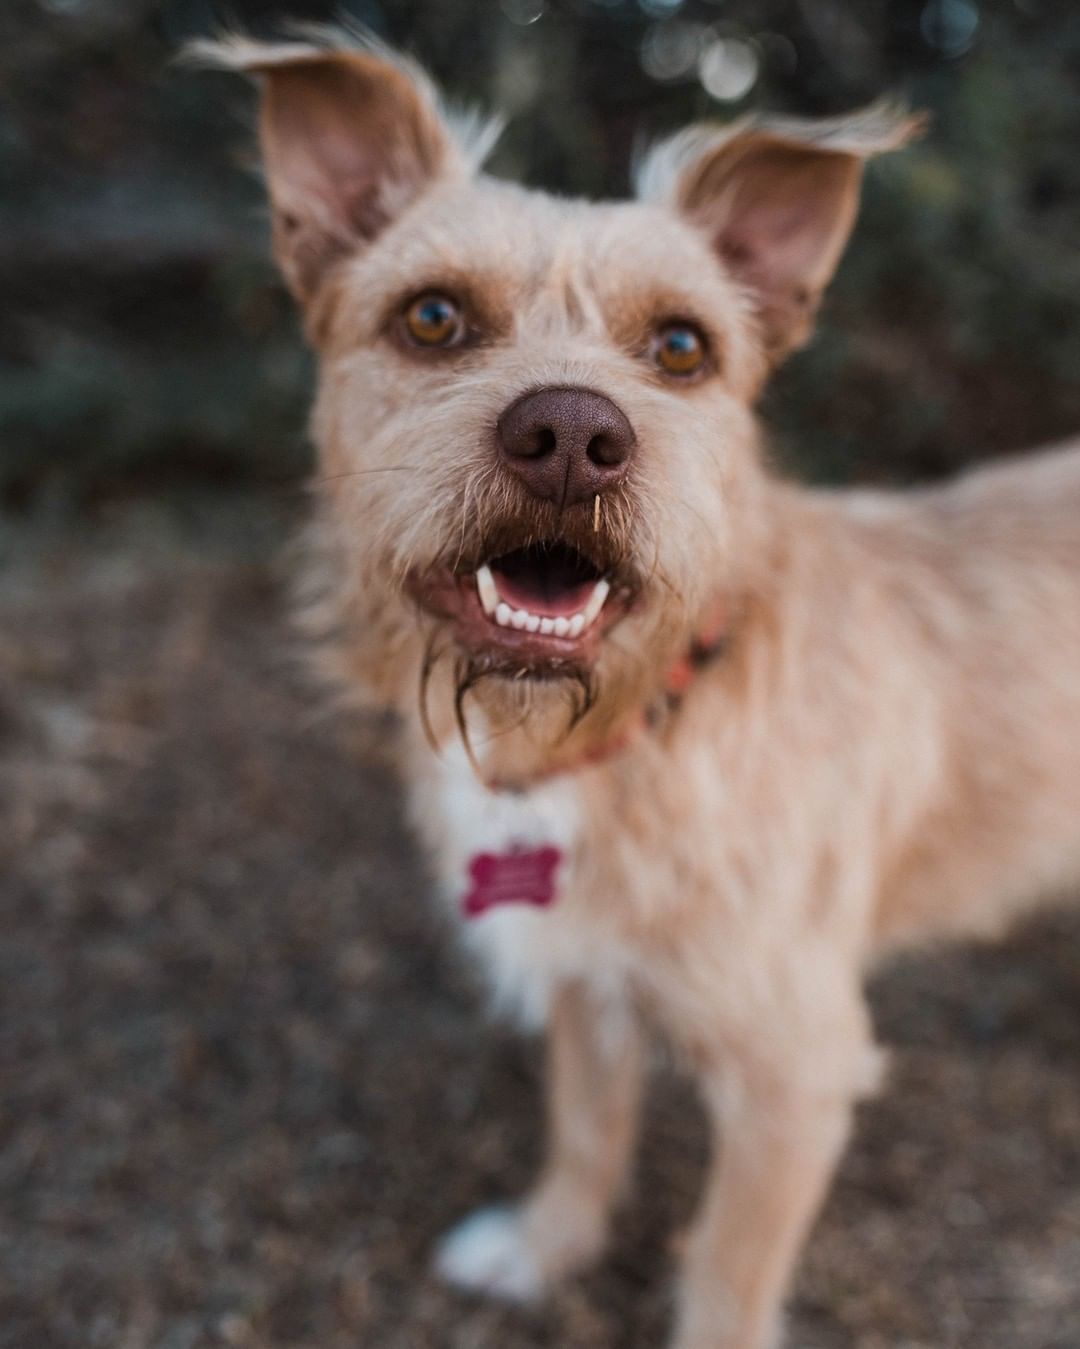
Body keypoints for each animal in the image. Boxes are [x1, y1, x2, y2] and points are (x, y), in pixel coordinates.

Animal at [195, 31, 1080, 1349]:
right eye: (433, 316)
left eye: (680, 346)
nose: (570, 435)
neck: (637, 719)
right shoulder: (584, 974)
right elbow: (584, 1125)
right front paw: (543, 1245)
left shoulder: (794, 1068)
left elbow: (725, 1265)